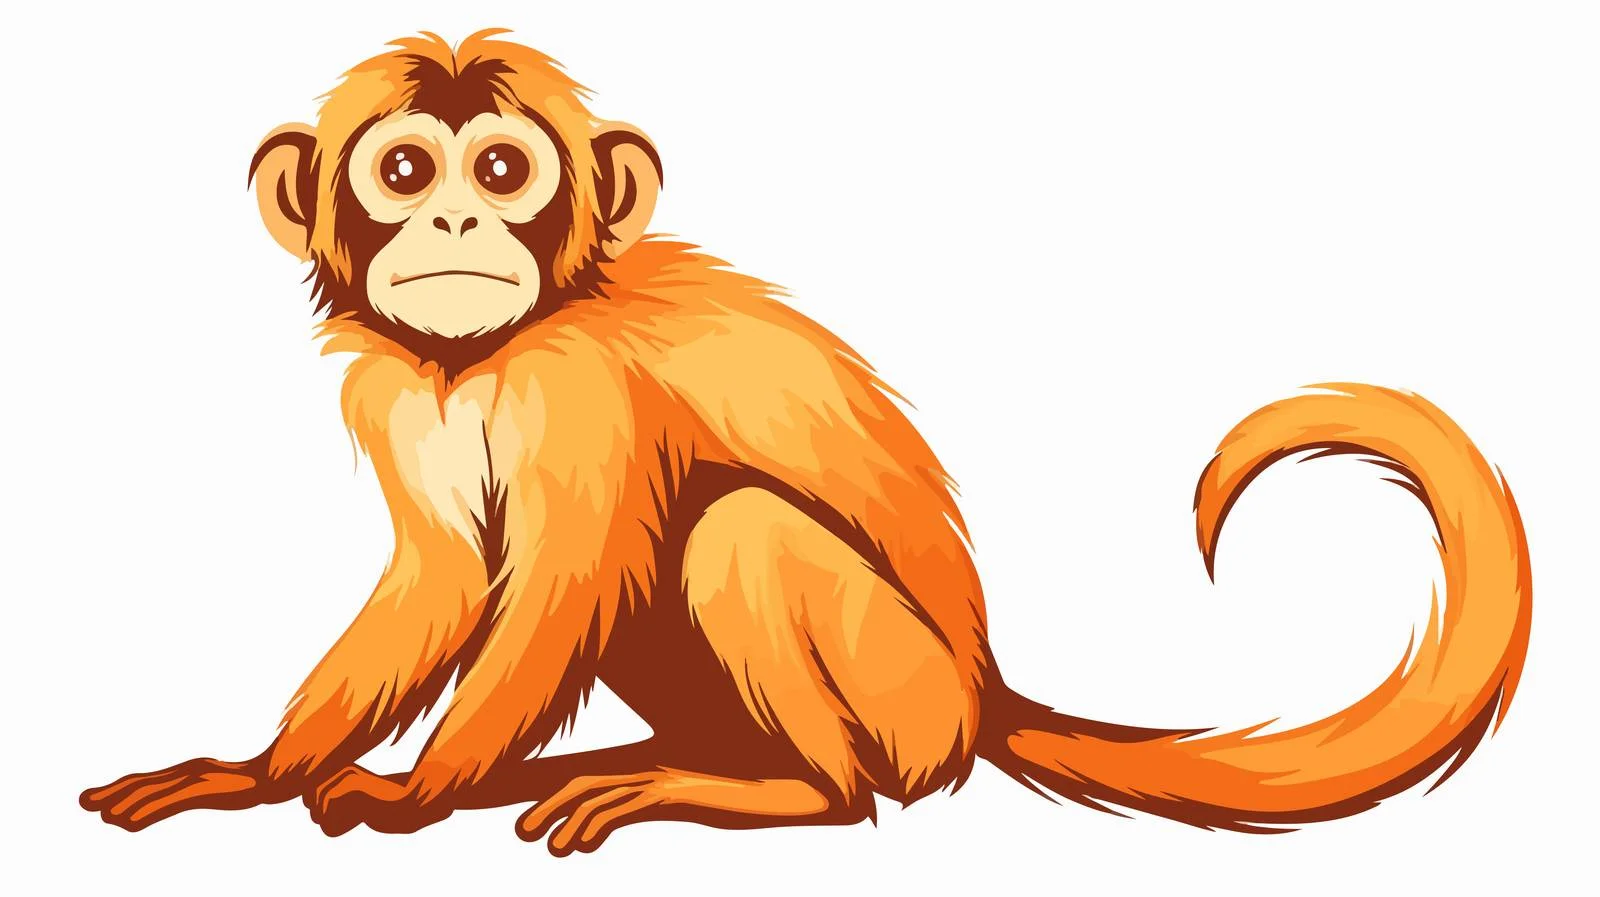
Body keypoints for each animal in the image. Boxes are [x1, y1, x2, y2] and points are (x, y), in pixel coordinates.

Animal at [79, 31, 1531, 855]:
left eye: (497, 172)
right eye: (401, 172)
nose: (450, 227)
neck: (495, 348)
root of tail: (983, 695)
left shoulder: (581, 385)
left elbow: (559, 585)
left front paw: (409, 792)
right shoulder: (399, 389)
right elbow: (443, 579)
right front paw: (260, 774)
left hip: (907, 705)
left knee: (735, 528)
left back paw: (793, 794)